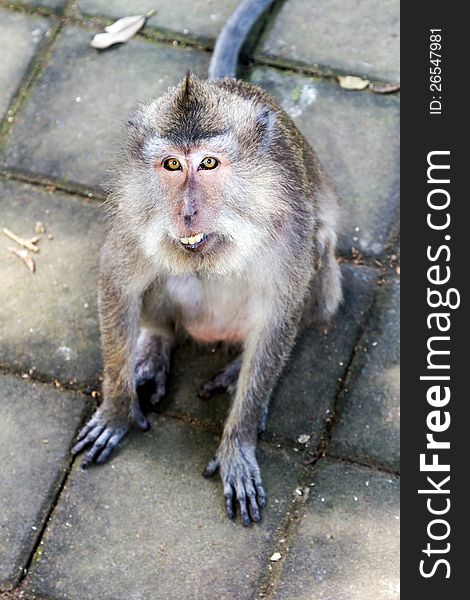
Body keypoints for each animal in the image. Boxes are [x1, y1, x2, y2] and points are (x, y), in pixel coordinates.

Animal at [71, 0, 340, 524]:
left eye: (209, 163)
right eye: (173, 165)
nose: (187, 212)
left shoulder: (288, 229)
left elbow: (280, 314)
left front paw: (238, 441)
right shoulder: (135, 215)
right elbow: (118, 282)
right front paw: (116, 407)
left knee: (318, 255)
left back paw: (237, 374)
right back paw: (155, 346)